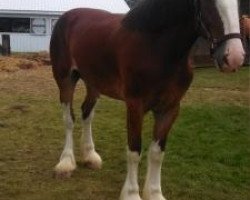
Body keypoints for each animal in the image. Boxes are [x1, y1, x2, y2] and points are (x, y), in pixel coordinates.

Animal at [49, 0, 244, 200]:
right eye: (207, 2)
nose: (234, 57)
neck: (156, 47)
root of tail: (67, 17)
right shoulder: (135, 106)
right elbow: (135, 150)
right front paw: (131, 194)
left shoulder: (170, 108)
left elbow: (157, 152)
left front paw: (154, 193)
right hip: (65, 80)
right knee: (69, 119)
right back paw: (66, 163)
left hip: (94, 83)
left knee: (87, 113)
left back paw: (90, 156)